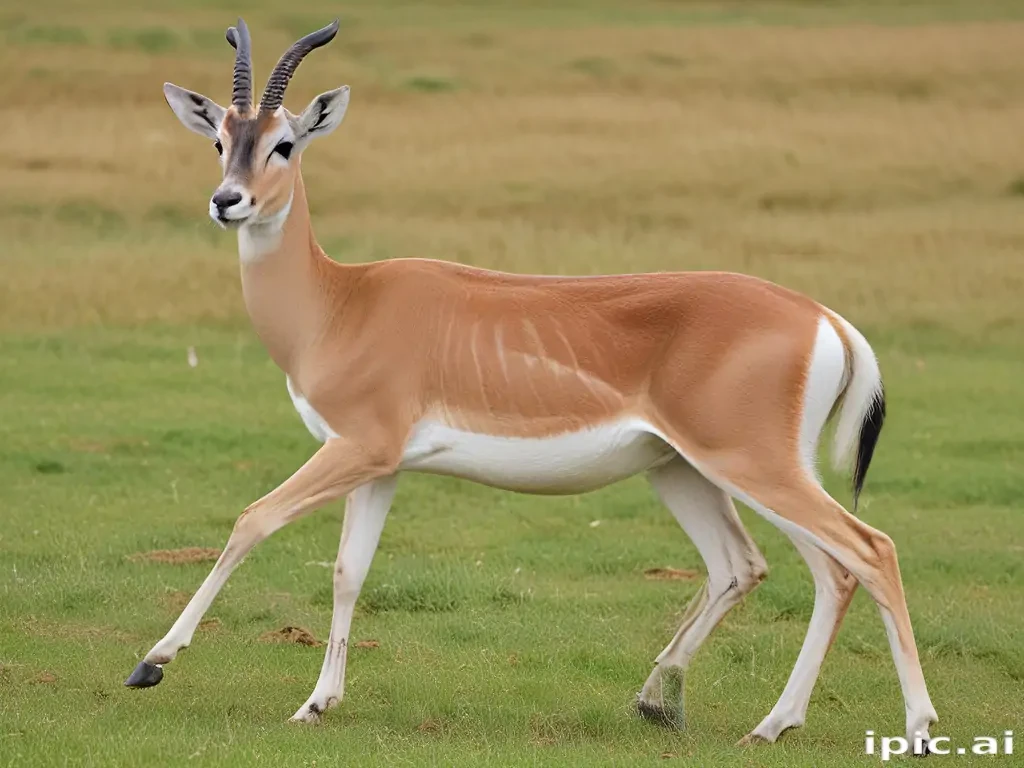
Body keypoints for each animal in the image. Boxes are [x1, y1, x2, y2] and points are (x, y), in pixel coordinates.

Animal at [128, 17, 938, 749]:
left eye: (285, 142)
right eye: (219, 139)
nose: (227, 201)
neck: (341, 302)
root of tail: (824, 318)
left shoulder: (355, 447)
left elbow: (252, 519)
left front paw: (153, 662)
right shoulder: (379, 466)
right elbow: (349, 572)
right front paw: (316, 704)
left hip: (751, 465)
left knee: (867, 552)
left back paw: (913, 727)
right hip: (687, 469)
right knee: (771, 567)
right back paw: (728, 717)